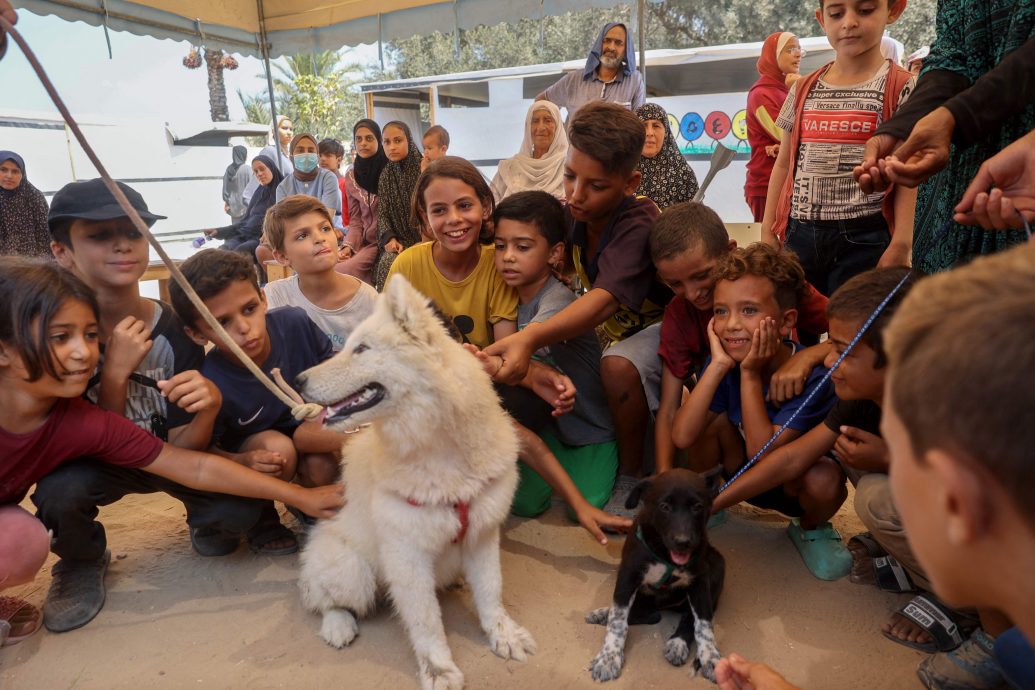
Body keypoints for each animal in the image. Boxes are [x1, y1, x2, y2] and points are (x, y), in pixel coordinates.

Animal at [291, 277, 534, 690]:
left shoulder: (482, 534)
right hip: (352, 570)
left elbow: (491, 593)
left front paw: (504, 636)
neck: (443, 452)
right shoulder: (407, 555)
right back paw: (338, 626)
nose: (298, 380)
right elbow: (426, 622)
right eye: (351, 345)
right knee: (324, 599)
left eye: (361, 349)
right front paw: (439, 670)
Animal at [587, 467, 724, 682]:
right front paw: (609, 657)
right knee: (641, 612)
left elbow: (703, 625)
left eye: (698, 507)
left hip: (718, 566)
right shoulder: (628, 575)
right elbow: (618, 619)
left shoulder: (700, 582)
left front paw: (710, 657)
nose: (683, 542)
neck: (665, 554)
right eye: (664, 506)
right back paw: (603, 613)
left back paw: (678, 643)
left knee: (684, 616)